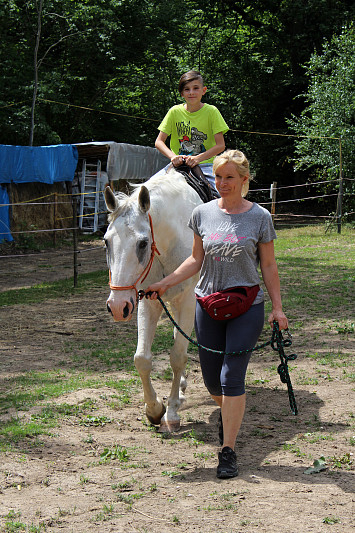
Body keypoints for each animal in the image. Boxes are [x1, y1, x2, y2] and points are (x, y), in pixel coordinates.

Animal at [103, 170, 203, 432]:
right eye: (106, 241)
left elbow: (177, 356)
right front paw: (155, 409)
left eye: (142, 243)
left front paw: (171, 413)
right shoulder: (148, 301)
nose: (116, 307)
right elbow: (142, 359)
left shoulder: (187, 300)